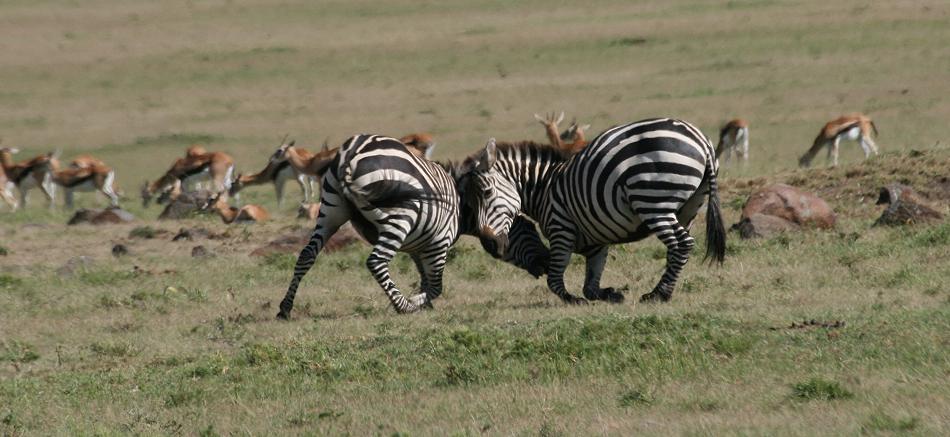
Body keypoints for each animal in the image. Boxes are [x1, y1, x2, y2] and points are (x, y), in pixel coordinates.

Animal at [276, 135, 552, 318]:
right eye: (528, 230)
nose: (546, 262)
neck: (461, 203)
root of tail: (351, 153)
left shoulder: (418, 246)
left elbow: (425, 280)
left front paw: (424, 303)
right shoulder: (439, 243)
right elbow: (436, 286)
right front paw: (416, 302)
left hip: (331, 210)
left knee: (306, 255)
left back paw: (285, 308)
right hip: (399, 217)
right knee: (376, 261)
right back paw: (403, 306)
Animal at [468, 117, 728, 304]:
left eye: (486, 193)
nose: (489, 244)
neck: (543, 187)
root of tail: (701, 141)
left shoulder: (561, 227)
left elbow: (555, 278)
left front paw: (572, 299)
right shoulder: (596, 242)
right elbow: (591, 284)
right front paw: (612, 294)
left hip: (653, 203)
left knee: (682, 243)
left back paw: (658, 294)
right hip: (689, 207)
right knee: (677, 249)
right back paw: (664, 290)